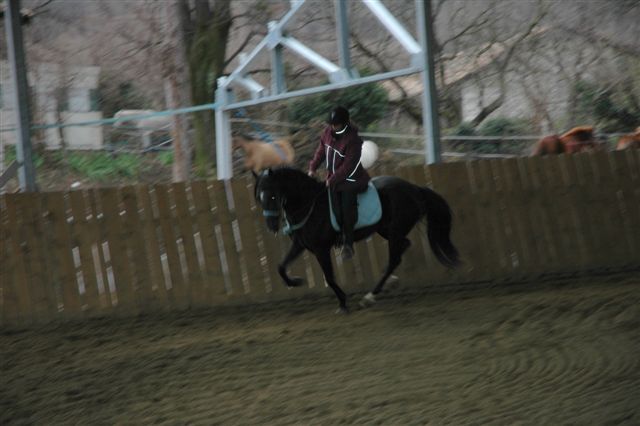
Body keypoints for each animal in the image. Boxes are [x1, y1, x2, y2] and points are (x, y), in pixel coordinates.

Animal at [253, 167, 460, 313]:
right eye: (259, 197)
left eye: (273, 195)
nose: (271, 225)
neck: (310, 204)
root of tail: (414, 189)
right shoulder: (300, 245)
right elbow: (281, 267)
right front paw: (296, 282)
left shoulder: (321, 248)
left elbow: (329, 277)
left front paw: (343, 302)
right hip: (386, 230)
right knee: (403, 247)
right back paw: (388, 283)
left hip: (394, 231)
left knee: (394, 258)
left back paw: (369, 297)